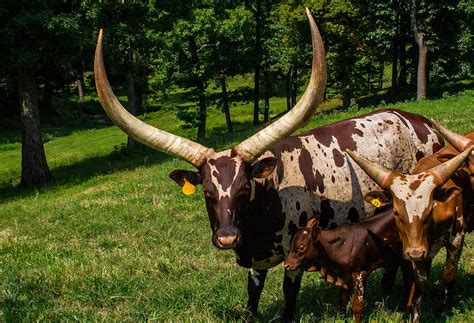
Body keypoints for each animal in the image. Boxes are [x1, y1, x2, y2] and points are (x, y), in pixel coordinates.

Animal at [93, 8, 444, 322]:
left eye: (244, 188)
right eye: (206, 191)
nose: (226, 238)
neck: (269, 195)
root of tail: (424, 122)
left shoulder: (296, 250)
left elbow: (289, 297)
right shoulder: (255, 260)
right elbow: (253, 295)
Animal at [346, 140, 472, 322]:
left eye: (429, 211)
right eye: (396, 213)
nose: (416, 252)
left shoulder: (456, 238)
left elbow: (449, 275)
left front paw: (443, 309)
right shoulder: (416, 250)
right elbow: (420, 283)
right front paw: (415, 315)